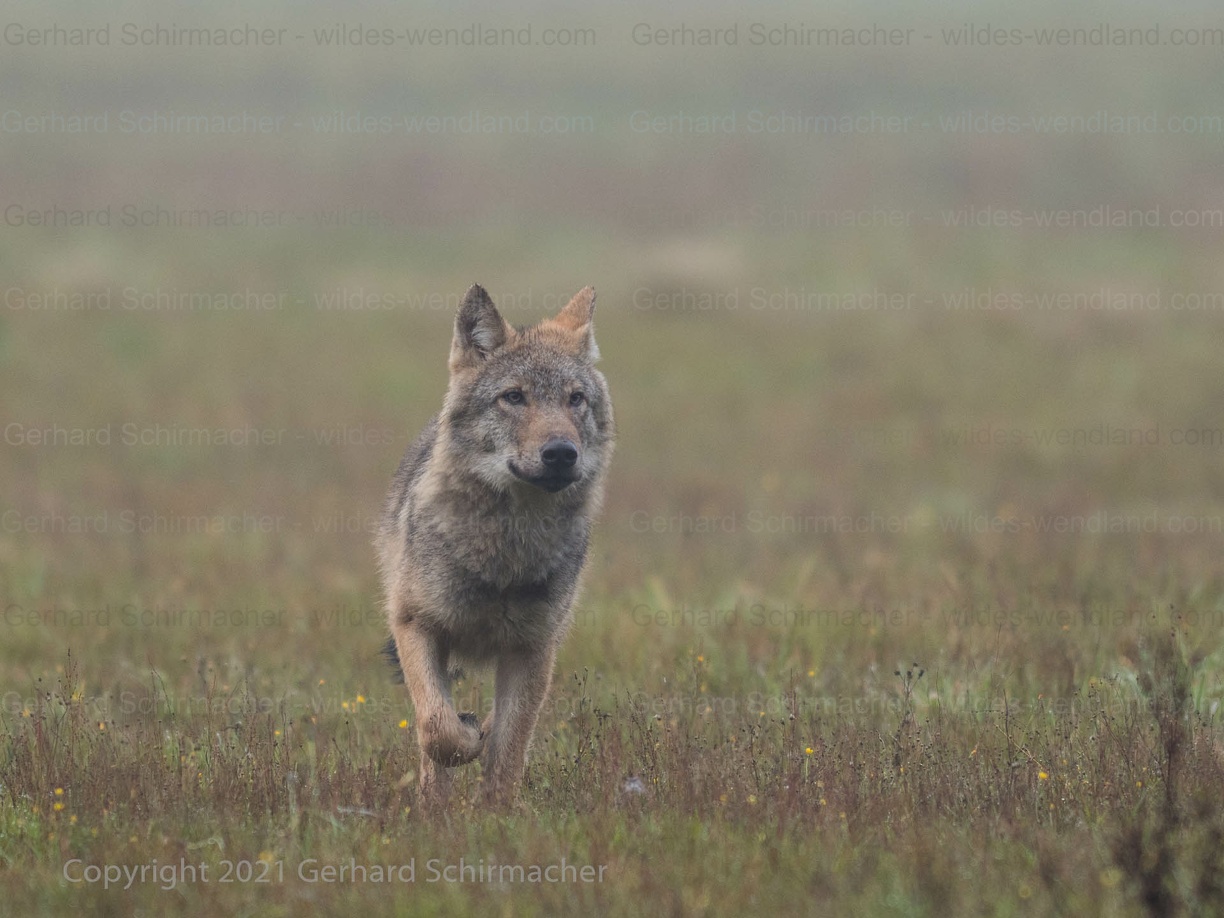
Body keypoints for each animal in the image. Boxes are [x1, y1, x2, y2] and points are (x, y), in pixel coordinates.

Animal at [376, 283, 614, 804]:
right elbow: (438, 729)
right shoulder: (415, 624)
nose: (561, 453)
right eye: (514, 397)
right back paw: (433, 806)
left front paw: (497, 814)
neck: (506, 553)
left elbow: (509, 746)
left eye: (575, 399)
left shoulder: (533, 649)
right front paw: (465, 739)